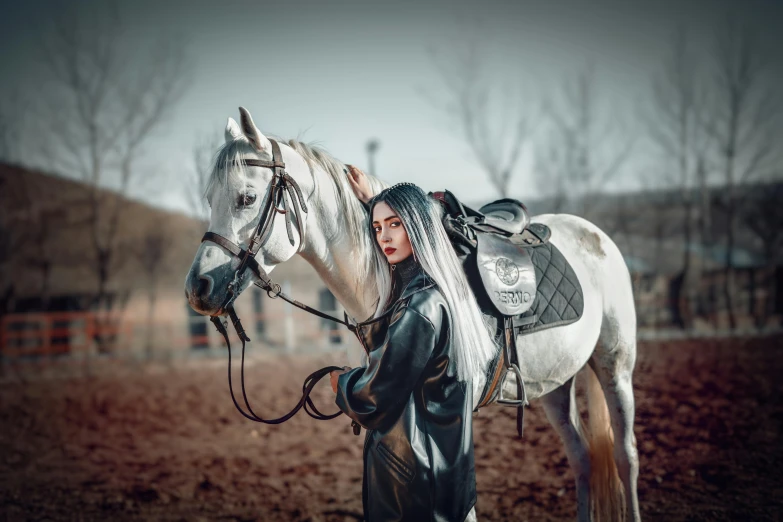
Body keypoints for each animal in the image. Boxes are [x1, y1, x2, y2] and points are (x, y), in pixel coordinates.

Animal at [187, 106, 640, 520]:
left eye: (246, 198)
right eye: (209, 199)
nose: (197, 288)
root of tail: (591, 231)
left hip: (614, 366)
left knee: (625, 456)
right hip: (555, 383)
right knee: (582, 457)